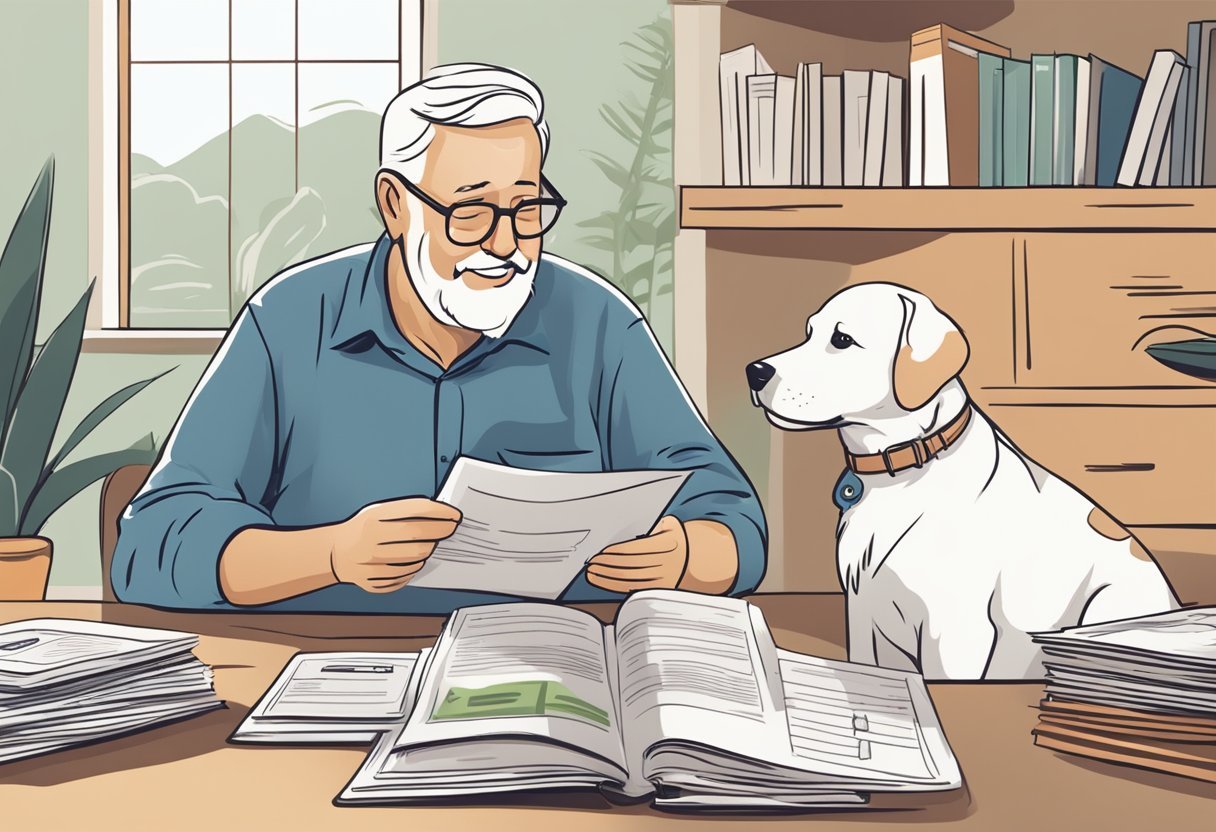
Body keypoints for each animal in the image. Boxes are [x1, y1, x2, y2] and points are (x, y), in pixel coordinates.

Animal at [744, 282, 1181, 681]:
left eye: (842, 339)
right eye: (809, 332)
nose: (754, 371)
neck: (905, 471)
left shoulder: (955, 631)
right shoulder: (864, 615)